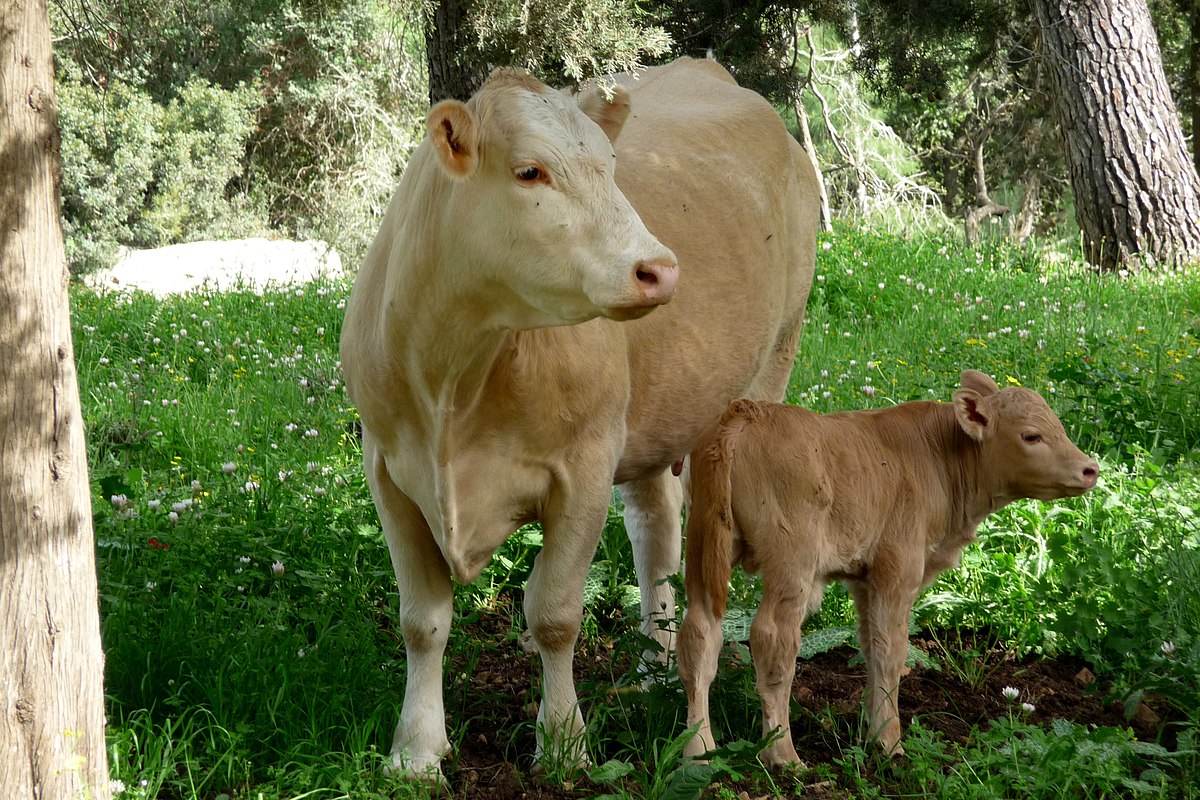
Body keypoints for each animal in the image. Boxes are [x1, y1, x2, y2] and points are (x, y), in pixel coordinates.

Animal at [343, 59, 820, 786]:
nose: (660, 269)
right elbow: (422, 620)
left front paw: (564, 743)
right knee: (656, 531)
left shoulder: (585, 465)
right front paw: (417, 751)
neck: (456, 372)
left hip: (772, 362)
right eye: (529, 171)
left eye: (611, 167)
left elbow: (554, 615)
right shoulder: (389, 472)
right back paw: (654, 668)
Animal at [676, 371, 1099, 767]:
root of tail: (746, 412)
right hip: (791, 561)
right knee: (773, 639)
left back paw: (699, 749)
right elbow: (891, 651)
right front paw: (889, 742)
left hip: (701, 549)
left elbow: (870, 645)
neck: (936, 455)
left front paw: (870, 729)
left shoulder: (864, 579)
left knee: (699, 634)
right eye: (1031, 436)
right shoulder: (897, 570)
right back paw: (782, 754)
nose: (1089, 469)